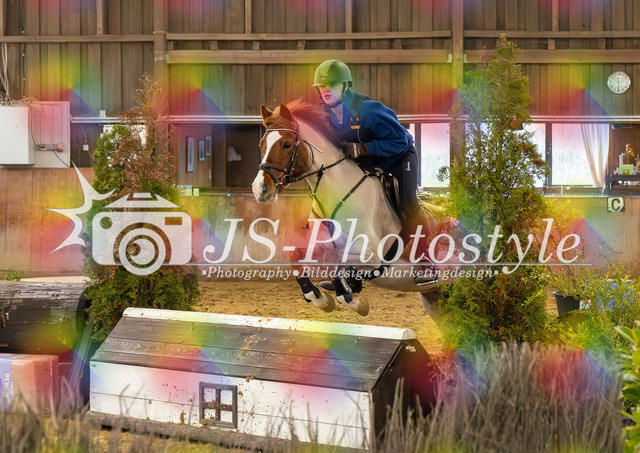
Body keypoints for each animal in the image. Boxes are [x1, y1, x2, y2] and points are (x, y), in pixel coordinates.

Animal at [251, 100, 446, 320]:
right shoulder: (320, 245)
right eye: (261, 145)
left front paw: (352, 299)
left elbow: (332, 259)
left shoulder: (371, 254)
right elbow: (295, 256)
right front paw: (320, 297)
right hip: (435, 298)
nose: (260, 189)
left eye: (286, 144)